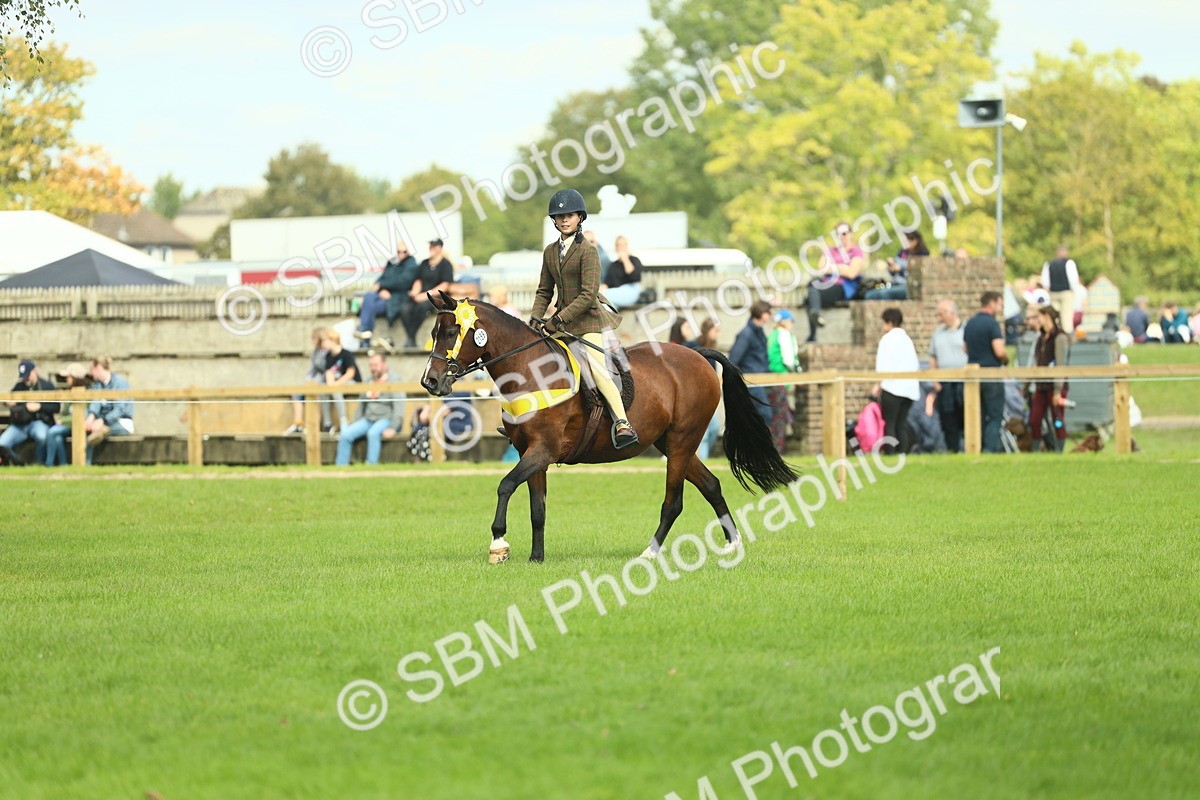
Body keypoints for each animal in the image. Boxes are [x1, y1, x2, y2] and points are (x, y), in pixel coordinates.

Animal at [419, 291, 798, 563]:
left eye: (451, 332)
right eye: (435, 332)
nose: (430, 382)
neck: (530, 370)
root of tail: (698, 355)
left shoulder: (543, 450)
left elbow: (505, 486)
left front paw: (498, 543)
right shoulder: (532, 453)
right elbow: (537, 508)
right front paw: (536, 558)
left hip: (681, 441)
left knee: (674, 502)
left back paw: (650, 552)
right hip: (672, 444)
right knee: (711, 486)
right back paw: (733, 544)